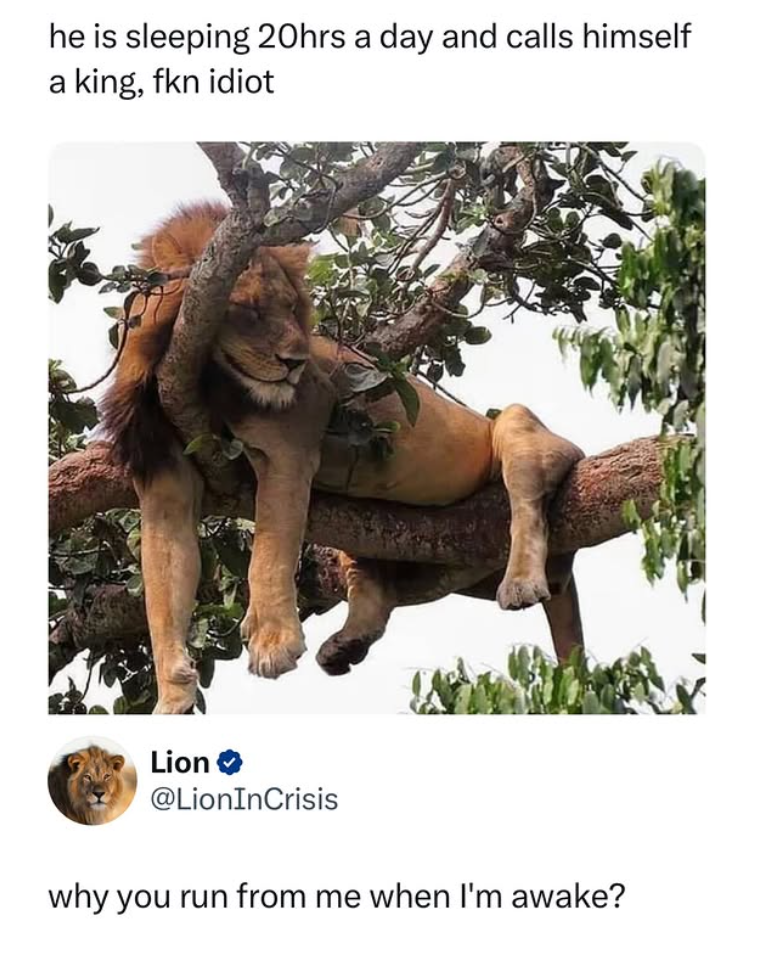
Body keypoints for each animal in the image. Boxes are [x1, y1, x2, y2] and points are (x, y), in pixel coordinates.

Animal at [102, 202, 585, 713]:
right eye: (249, 310)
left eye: (291, 308)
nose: (295, 361)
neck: (206, 382)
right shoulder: (165, 473)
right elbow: (163, 585)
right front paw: (173, 693)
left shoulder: (289, 450)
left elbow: (268, 554)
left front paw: (273, 641)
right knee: (378, 585)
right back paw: (345, 645)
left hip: (517, 427)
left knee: (528, 500)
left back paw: (521, 582)